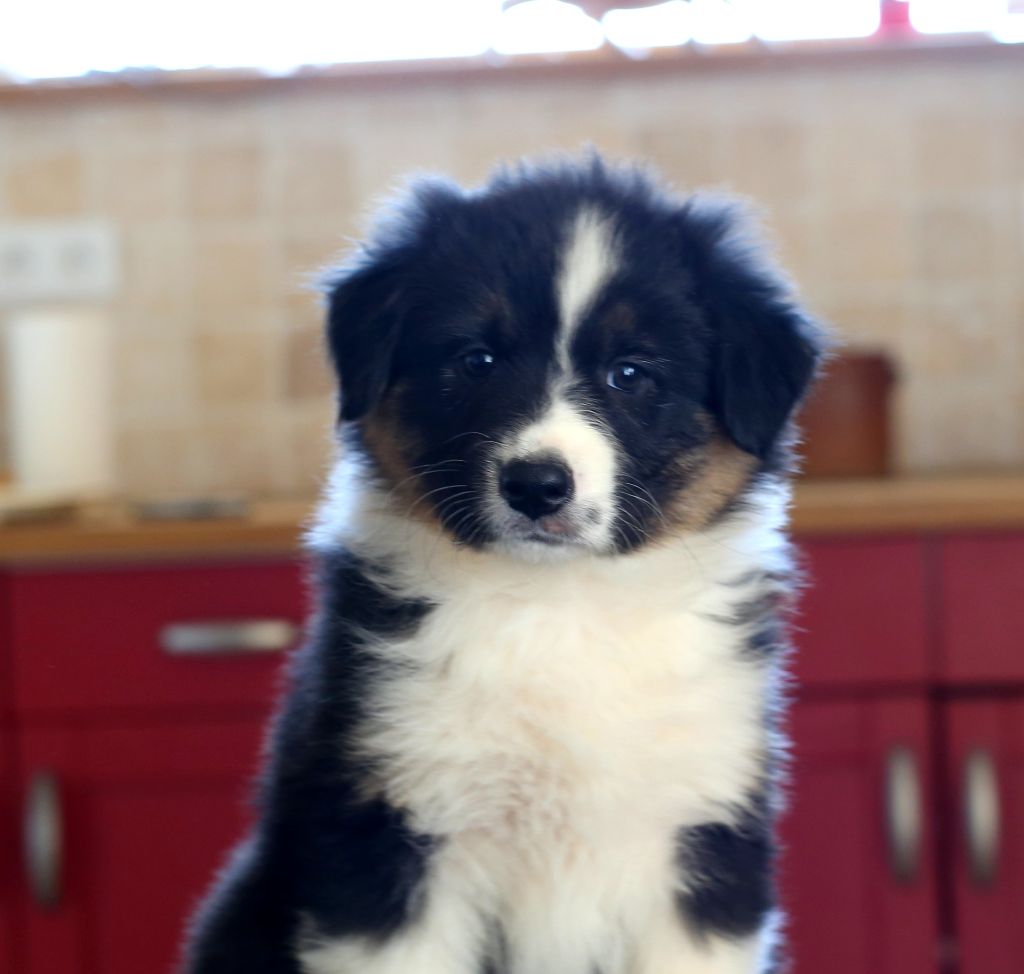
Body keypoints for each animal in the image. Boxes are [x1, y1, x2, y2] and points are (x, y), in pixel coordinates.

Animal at [182, 155, 825, 974]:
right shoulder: (387, 840)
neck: (561, 608)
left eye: (630, 373)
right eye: (476, 360)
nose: (537, 485)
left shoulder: (705, 843)